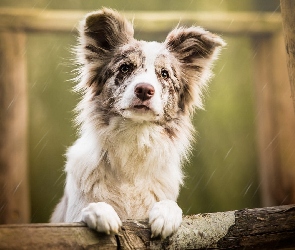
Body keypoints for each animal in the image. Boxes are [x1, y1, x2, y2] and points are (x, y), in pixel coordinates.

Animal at [51, 7, 225, 238]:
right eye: (125, 68)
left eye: (164, 74)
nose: (144, 89)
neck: (135, 137)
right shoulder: (68, 219)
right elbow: (87, 210)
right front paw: (100, 212)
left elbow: (171, 205)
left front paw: (166, 214)